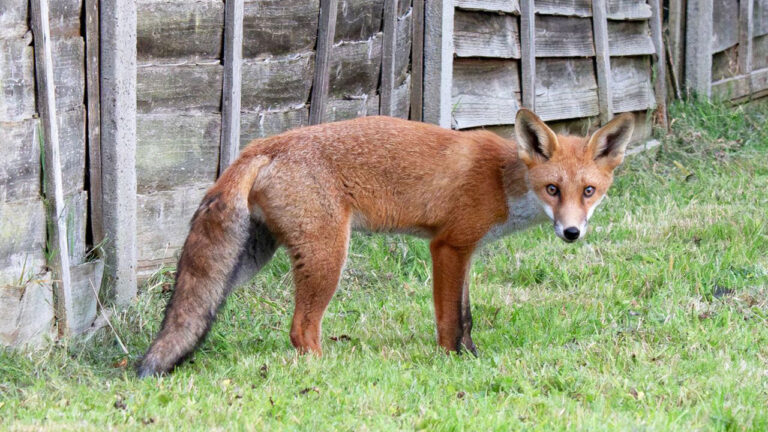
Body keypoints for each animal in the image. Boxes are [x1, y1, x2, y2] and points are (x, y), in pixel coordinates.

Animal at [137, 109, 634, 377]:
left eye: (588, 192)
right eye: (553, 189)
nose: (572, 233)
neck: (501, 182)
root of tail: (264, 144)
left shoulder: (467, 251)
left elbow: (467, 316)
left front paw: (473, 357)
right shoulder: (449, 247)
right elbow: (450, 321)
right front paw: (454, 362)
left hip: (246, 262)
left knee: (195, 310)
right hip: (327, 255)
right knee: (301, 329)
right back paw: (326, 371)